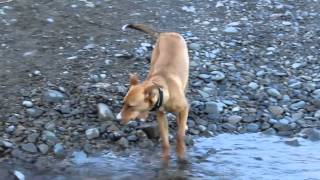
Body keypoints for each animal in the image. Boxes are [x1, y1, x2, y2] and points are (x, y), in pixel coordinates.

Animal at [116, 23, 189, 160]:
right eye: (123, 103)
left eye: (131, 106)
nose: (116, 119)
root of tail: (166, 33)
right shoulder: (160, 116)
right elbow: (165, 141)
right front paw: (165, 158)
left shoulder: (184, 108)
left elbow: (180, 134)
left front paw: (180, 152)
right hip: (153, 62)